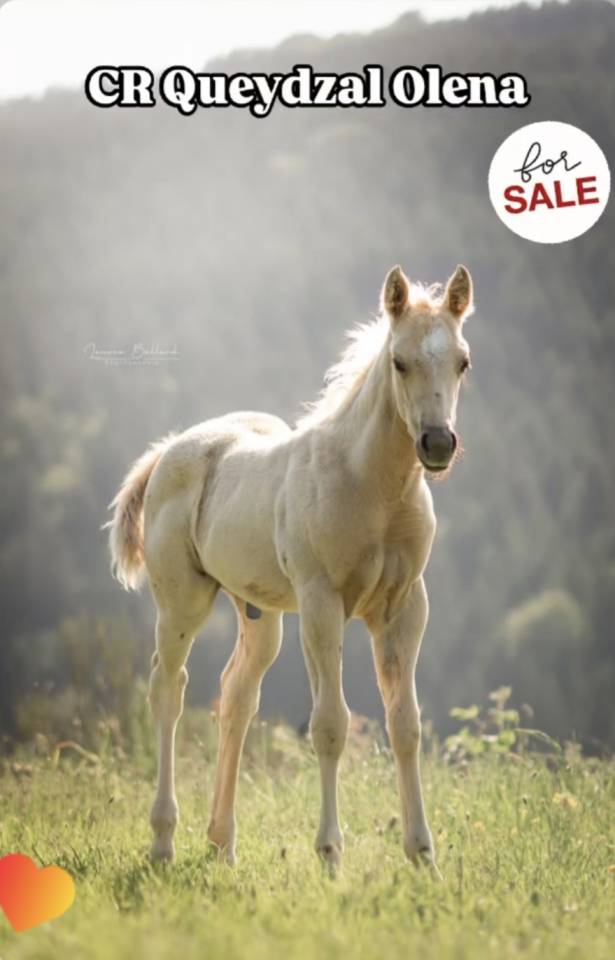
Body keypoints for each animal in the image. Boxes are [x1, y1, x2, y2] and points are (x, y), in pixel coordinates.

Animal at [106, 263, 473, 873]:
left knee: (236, 695)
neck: (370, 487)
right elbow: (329, 725)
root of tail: (168, 450)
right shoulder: (322, 603)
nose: (438, 443)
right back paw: (163, 841)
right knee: (168, 689)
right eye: (399, 361)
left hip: (260, 614)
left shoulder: (405, 607)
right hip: (181, 601)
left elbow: (406, 724)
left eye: (463, 361)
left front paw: (423, 857)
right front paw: (330, 856)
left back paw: (222, 844)